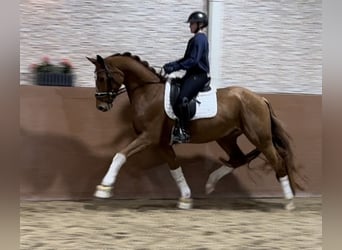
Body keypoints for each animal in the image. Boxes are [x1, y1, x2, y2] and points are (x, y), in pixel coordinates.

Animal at [87, 51, 304, 210]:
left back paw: (289, 201)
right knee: (238, 159)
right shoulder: (163, 143)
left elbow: (120, 155)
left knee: (277, 161)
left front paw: (103, 188)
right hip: (226, 137)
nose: (101, 106)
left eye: (102, 77)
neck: (149, 91)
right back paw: (210, 183)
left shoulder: (148, 137)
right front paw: (186, 198)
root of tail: (260, 99)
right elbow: (175, 168)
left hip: (260, 138)